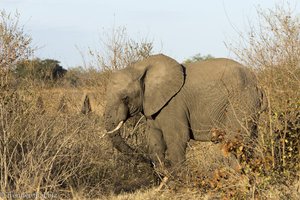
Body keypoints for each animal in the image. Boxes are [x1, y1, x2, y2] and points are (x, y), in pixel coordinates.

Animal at [103, 53, 264, 169]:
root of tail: (257, 82)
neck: (138, 67)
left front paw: (179, 182)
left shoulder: (173, 104)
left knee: (235, 139)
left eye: (125, 97)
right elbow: (155, 141)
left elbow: (177, 139)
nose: (144, 161)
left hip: (241, 101)